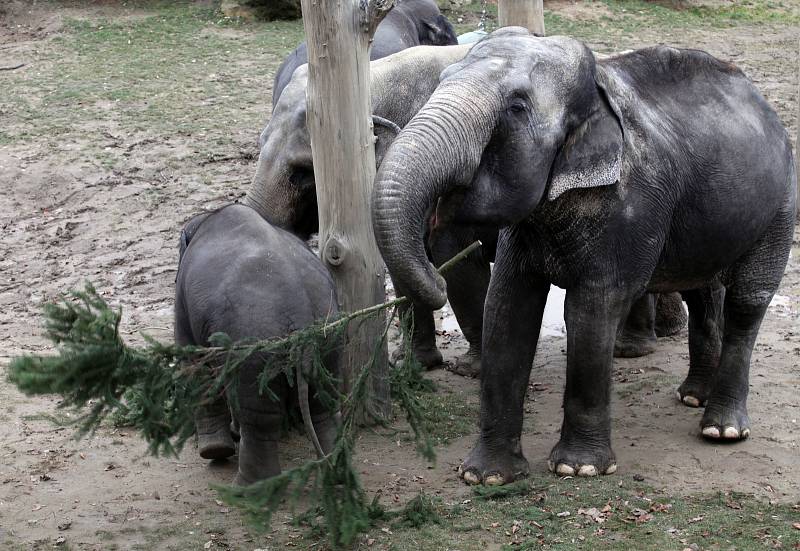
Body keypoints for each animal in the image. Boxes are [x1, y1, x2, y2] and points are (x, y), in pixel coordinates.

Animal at [173, 205, 340, 486]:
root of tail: (301, 312)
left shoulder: (184, 306)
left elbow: (195, 362)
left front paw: (214, 451)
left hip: (256, 346)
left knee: (259, 416)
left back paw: (246, 487)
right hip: (329, 338)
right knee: (322, 404)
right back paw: (335, 475)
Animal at [247, 44, 684, 380]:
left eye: (302, 173)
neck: (373, 77)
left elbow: (454, 259)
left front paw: (469, 369)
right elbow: (403, 267)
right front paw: (414, 365)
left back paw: (635, 347)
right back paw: (658, 334)